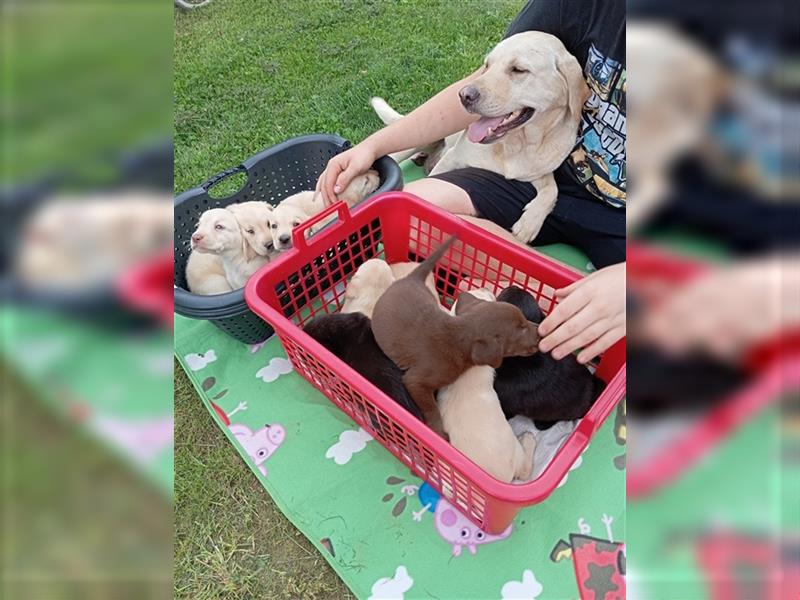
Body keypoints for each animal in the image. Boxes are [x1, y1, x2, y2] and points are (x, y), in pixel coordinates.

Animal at [368, 31, 588, 243]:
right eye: (487, 65)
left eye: (518, 70)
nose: (464, 95)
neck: (515, 145)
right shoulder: (453, 158)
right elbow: (435, 178)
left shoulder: (537, 173)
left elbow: (552, 190)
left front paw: (529, 223)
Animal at [372, 237, 540, 438]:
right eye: (521, 328)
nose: (539, 331)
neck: (458, 336)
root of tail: (412, 279)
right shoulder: (415, 381)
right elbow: (431, 408)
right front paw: (438, 432)